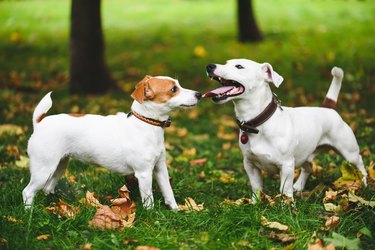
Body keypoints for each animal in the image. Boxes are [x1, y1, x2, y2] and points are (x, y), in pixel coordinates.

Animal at [22, 75, 201, 209]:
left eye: (178, 84)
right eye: (173, 89)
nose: (199, 94)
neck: (146, 124)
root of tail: (39, 122)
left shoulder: (160, 169)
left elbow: (168, 192)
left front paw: (175, 211)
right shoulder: (144, 173)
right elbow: (148, 200)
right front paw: (152, 217)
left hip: (58, 166)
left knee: (47, 188)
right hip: (43, 169)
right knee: (28, 192)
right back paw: (30, 213)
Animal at [204, 58, 368, 201]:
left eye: (239, 66)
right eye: (226, 62)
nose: (210, 66)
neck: (257, 124)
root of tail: (328, 107)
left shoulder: (287, 165)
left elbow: (285, 189)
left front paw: (287, 206)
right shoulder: (250, 165)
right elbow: (256, 187)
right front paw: (255, 203)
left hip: (348, 151)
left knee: (359, 163)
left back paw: (364, 182)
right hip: (305, 153)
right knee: (308, 167)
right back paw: (299, 186)